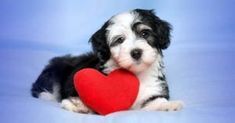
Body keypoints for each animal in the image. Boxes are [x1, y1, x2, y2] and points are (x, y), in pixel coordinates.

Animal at [31, 8, 183, 114]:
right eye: (120, 40)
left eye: (145, 33)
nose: (136, 52)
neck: (136, 75)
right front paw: (78, 104)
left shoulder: (154, 89)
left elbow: (157, 101)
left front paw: (170, 104)